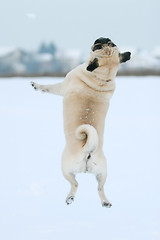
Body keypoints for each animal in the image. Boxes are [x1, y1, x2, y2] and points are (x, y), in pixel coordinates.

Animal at [31, 37, 131, 206]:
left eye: (99, 46)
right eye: (111, 44)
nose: (103, 38)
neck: (101, 77)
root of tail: (88, 150)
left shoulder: (62, 87)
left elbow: (49, 87)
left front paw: (36, 86)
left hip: (65, 168)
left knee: (75, 184)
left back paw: (70, 198)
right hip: (103, 172)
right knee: (100, 187)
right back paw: (105, 202)